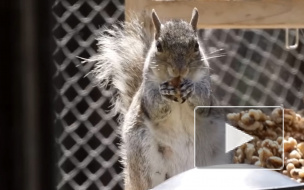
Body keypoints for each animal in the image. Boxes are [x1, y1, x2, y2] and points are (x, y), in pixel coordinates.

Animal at [89, 7, 232, 190]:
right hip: (145, 157)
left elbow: (203, 102)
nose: (179, 69)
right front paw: (164, 93)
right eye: (159, 46)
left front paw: (191, 89)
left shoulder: (206, 85)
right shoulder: (147, 90)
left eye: (196, 45)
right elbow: (154, 106)